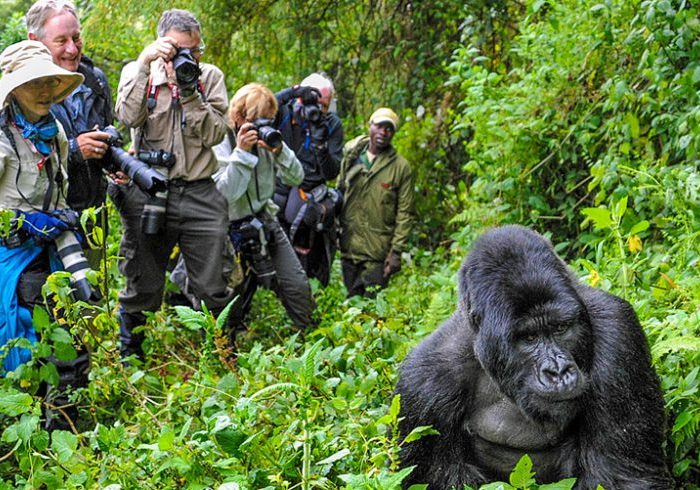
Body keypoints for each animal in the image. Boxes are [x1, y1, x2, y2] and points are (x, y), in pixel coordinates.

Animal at [394, 227, 672, 490]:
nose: (558, 371)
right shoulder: (423, 386)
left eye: (561, 328)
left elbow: (620, 476)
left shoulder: (618, 332)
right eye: (529, 337)